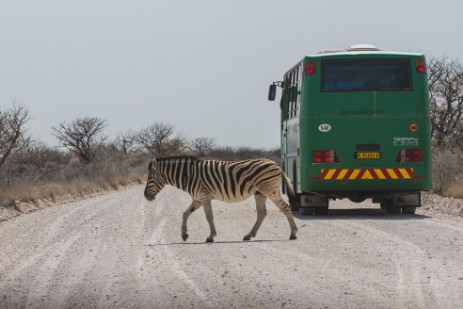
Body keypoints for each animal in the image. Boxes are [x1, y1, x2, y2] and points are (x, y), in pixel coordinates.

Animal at [143, 155, 300, 242]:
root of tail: (276, 165)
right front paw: (184, 235)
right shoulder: (198, 199)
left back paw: (293, 233)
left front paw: (211, 236)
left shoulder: (204, 197)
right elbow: (185, 213)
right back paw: (249, 235)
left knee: (285, 207)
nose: (145, 196)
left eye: (150, 178)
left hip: (269, 190)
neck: (189, 176)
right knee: (262, 213)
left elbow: (209, 217)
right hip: (259, 193)